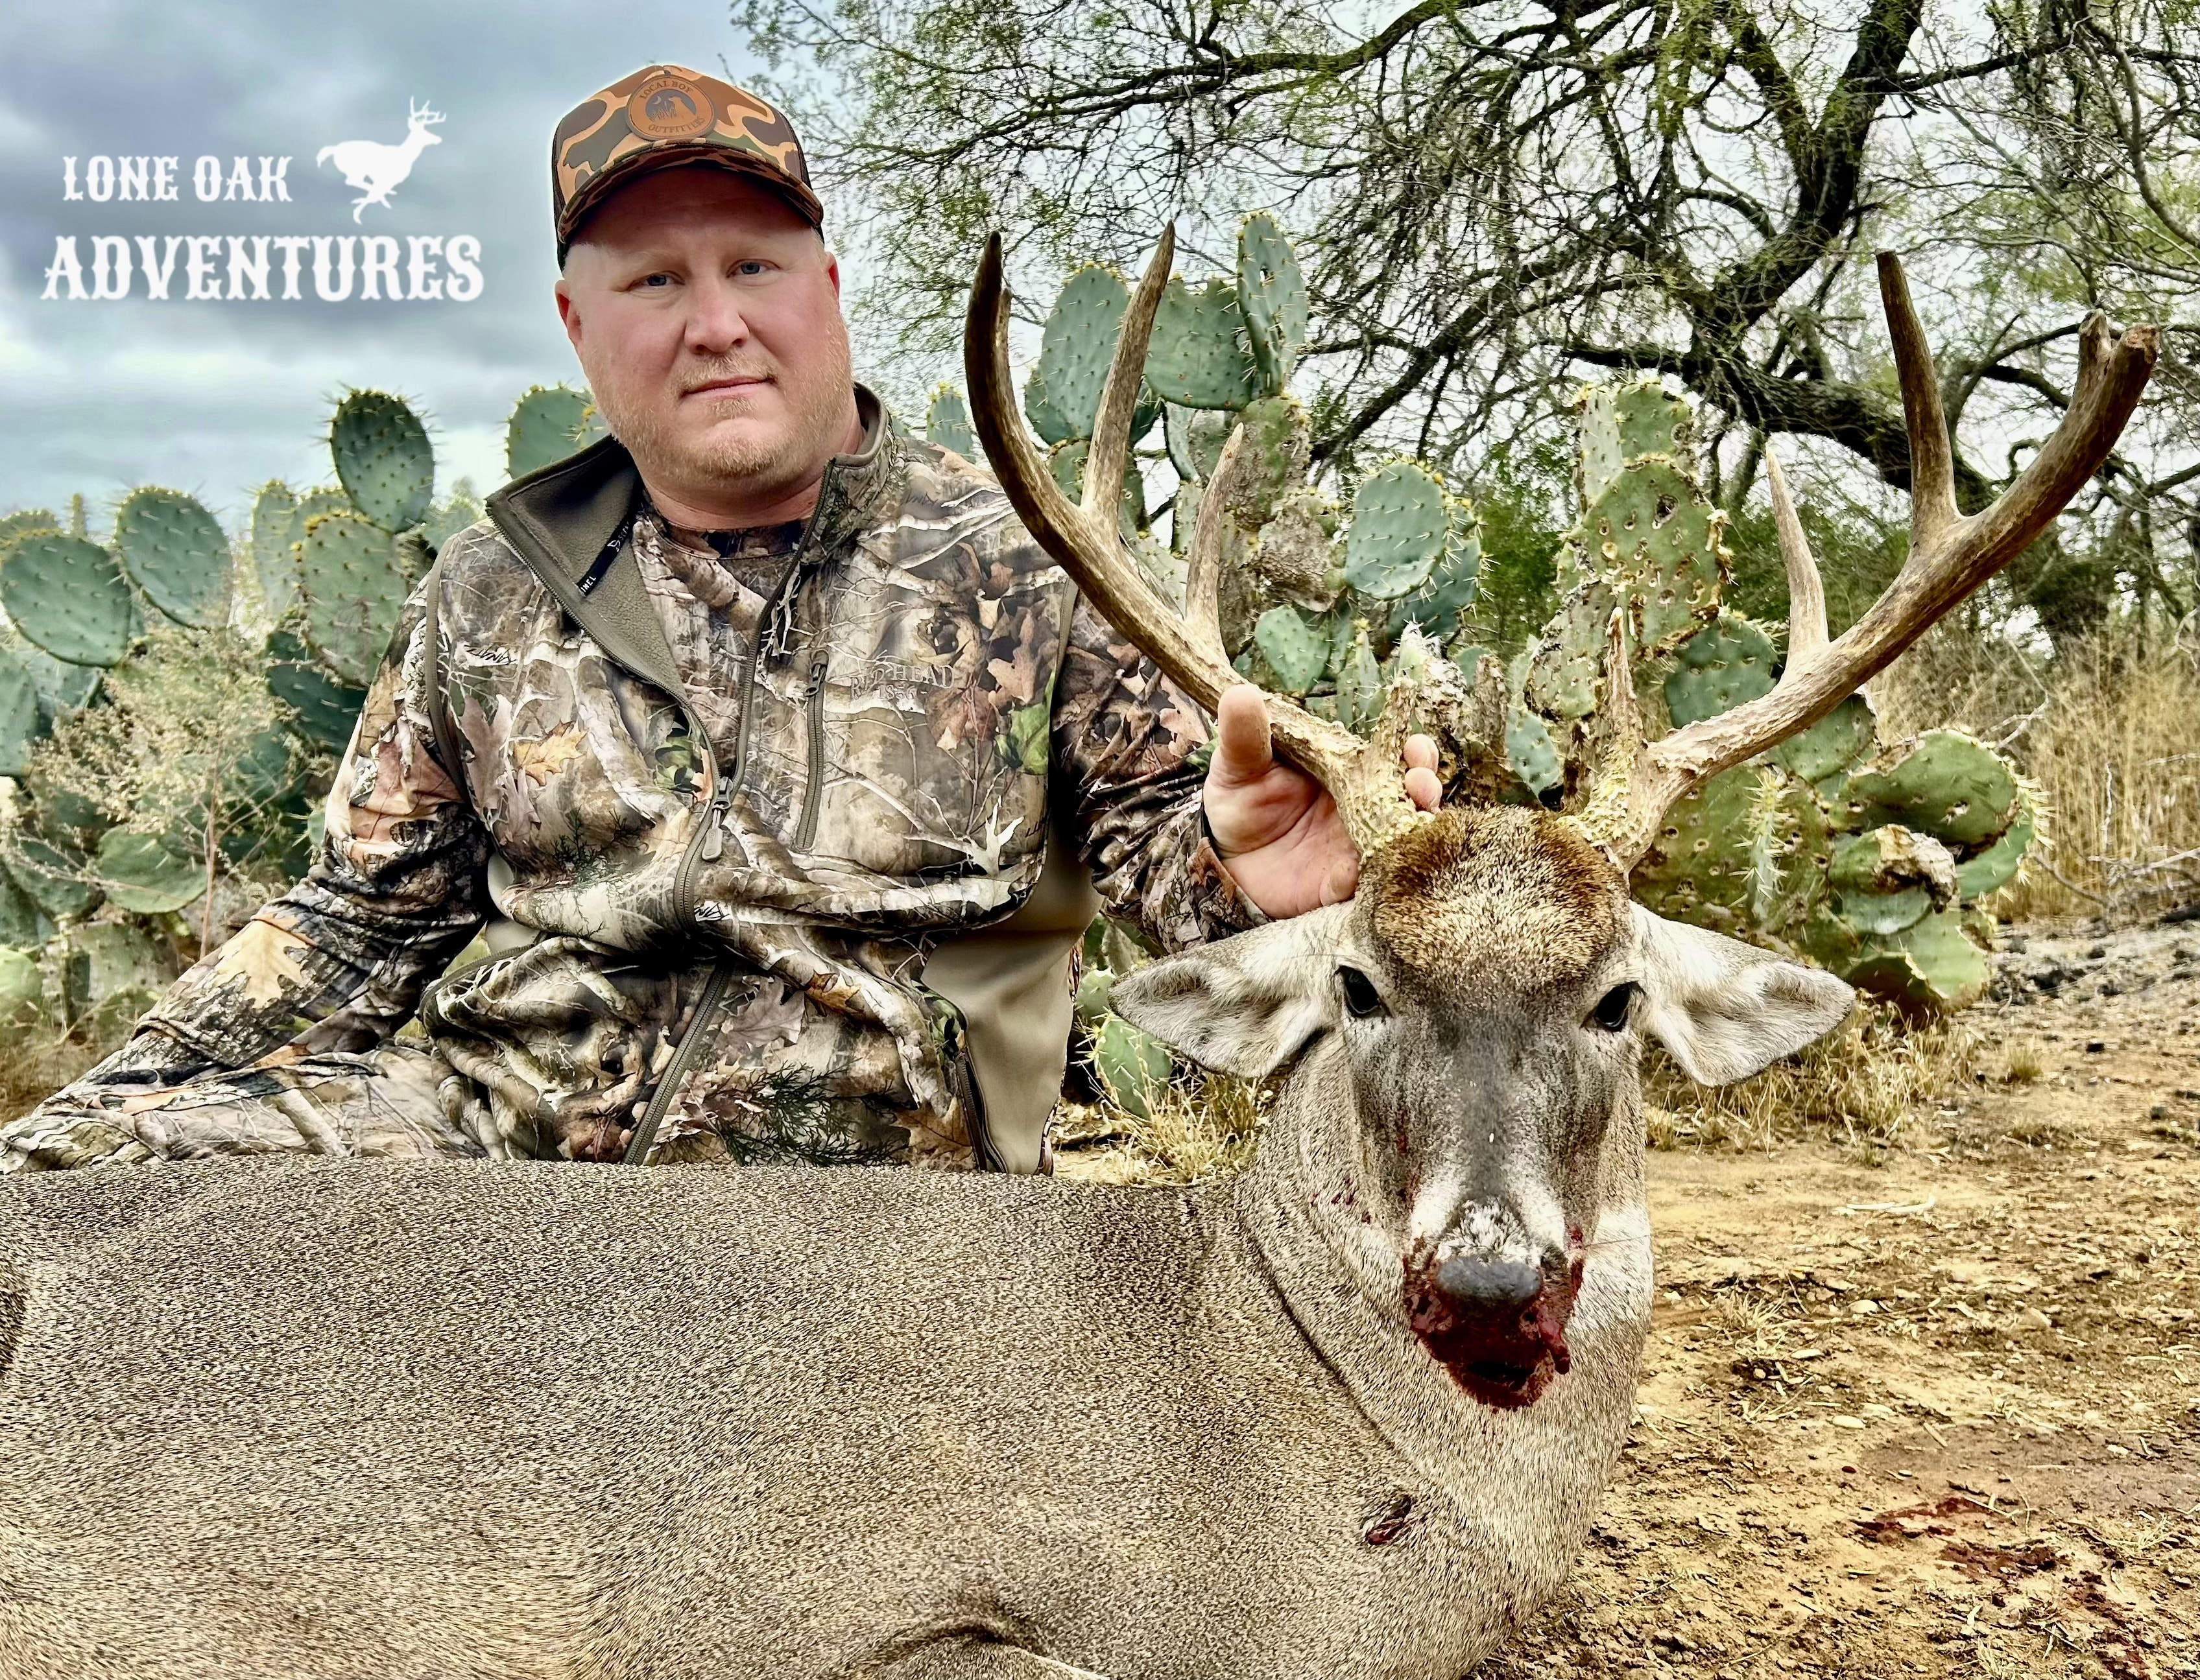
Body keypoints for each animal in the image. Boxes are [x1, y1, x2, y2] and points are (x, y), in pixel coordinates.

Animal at [316, 98, 445, 223]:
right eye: (423, 133)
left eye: (426, 130)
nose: (439, 139)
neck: (404, 156)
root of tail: (335, 149)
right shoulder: (385, 178)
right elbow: (373, 195)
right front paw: (358, 215)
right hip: (357, 170)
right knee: (353, 181)